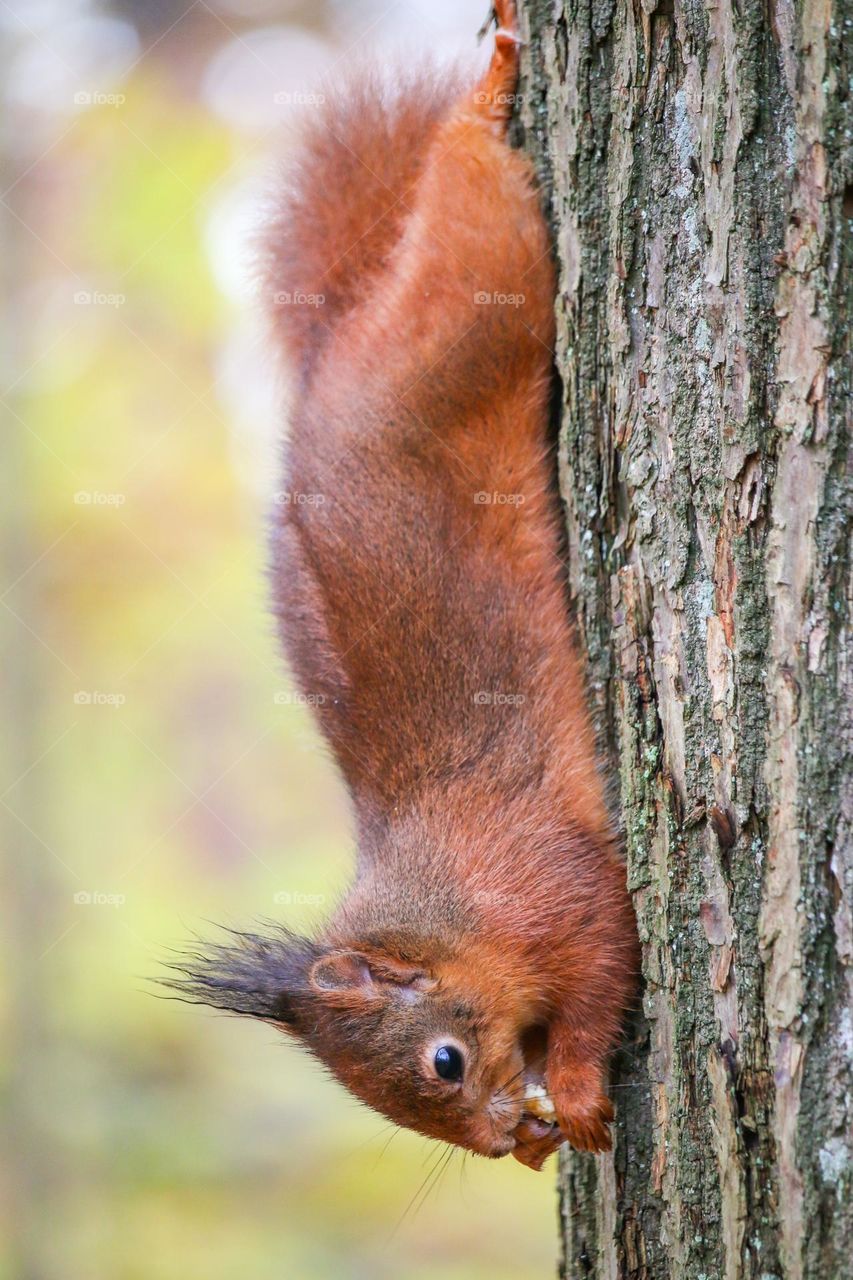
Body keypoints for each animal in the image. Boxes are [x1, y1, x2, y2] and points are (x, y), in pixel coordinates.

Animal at [171, 5, 637, 1172]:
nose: (496, 1137)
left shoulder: (553, 881)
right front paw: (542, 1132)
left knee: (467, 186)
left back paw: (488, 89)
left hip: (478, 297)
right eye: (393, 1106)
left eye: (443, 1060)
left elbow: (603, 972)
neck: (447, 903)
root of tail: (341, 331)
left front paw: (571, 1089)